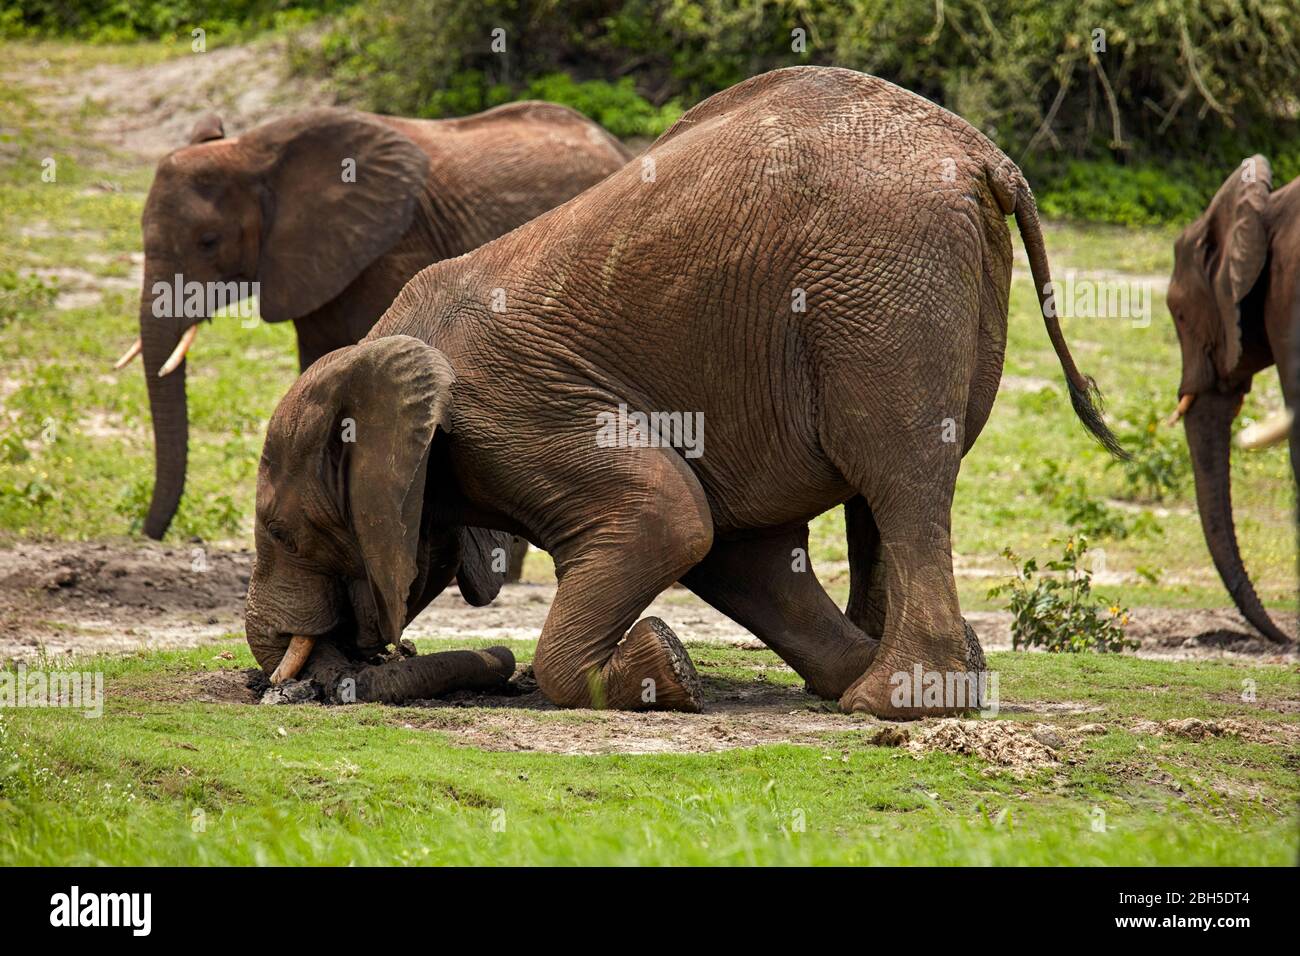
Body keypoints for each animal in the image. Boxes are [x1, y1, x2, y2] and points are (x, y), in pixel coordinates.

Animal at [245, 67, 1128, 717]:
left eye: (283, 531)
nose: (276, 684)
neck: (388, 353)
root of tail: (985, 155)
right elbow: (741, 555)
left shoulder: (517, 416)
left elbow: (669, 516)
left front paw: (661, 669)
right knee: (883, 495)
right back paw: (890, 682)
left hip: (882, 288)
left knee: (899, 471)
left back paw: (889, 705)